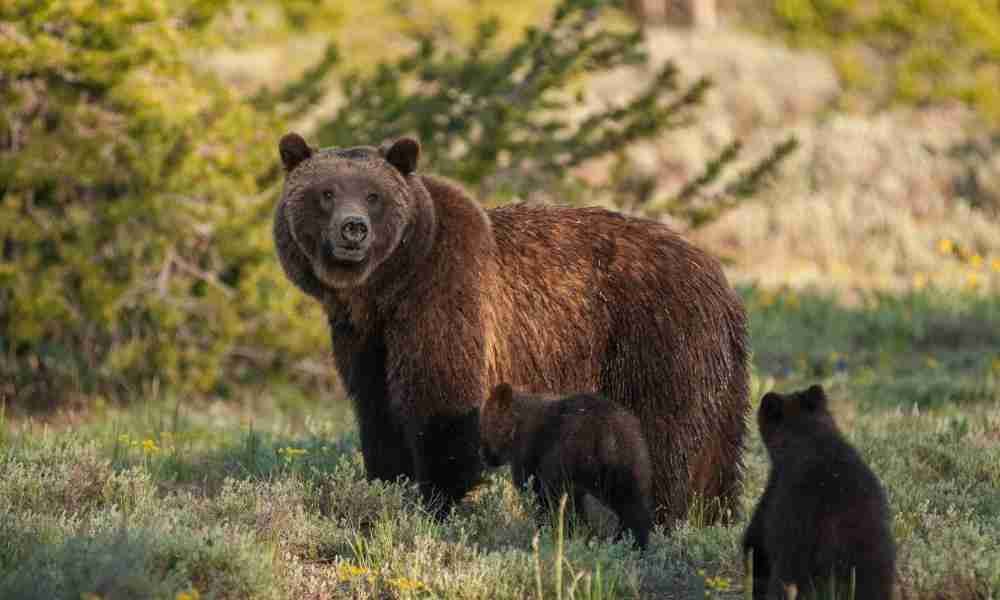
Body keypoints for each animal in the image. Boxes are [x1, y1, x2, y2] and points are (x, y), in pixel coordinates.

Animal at [270, 134, 748, 524]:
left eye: (373, 195)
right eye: (326, 193)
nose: (353, 230)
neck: (385, 288)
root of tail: (722, 283)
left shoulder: (444, 294)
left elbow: (440, 402)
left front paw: (439, 499)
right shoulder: (365, 337)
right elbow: (377, 408)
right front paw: (388, 483)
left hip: (658, 340)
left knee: (664, 437)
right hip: (718, 374)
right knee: (716, 454)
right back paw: (712, 517)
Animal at [478, 384, 652, 548]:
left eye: (485, 423)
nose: (484, 455)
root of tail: (606, 434)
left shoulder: (528, 459)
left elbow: (537, 497)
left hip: (569, 462)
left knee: (564, 505)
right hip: (628, 462)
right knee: (633, 508)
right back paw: (631, 543)